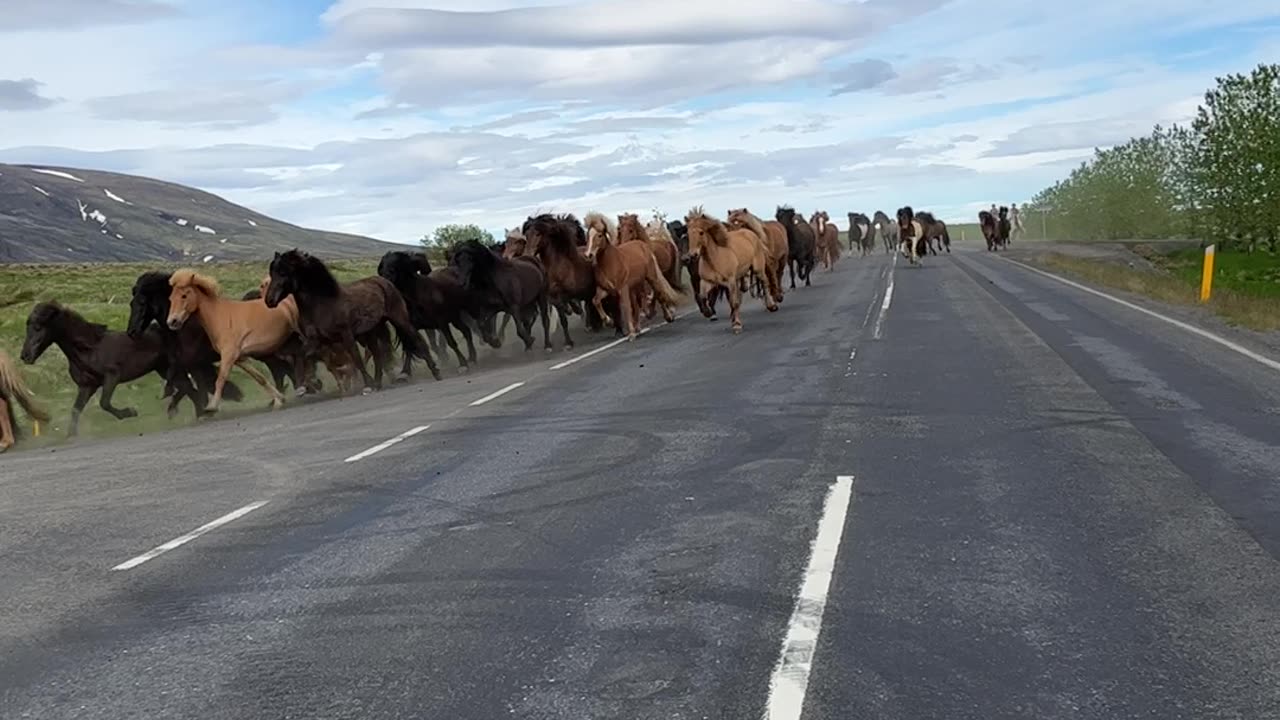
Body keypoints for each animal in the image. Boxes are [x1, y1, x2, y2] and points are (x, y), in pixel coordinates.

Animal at [126, 269, 243, 415]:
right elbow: (194, 387)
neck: (187, 324)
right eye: (131, 303)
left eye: (142, 302)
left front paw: (171, 400)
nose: (131, 332)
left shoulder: (192, 361)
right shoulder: (195, 364)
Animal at [583, 208, 680, 340]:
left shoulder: (624, 289)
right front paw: (609, 322)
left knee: (660, 291)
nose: (588, 255)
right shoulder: (604, 289)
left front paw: (632, 333)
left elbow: (628, 308)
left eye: (599, 235)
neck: (610, 263)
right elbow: (595, 301)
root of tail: (642, 245)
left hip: (654, 277)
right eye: (588, 235)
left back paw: (667, 314)